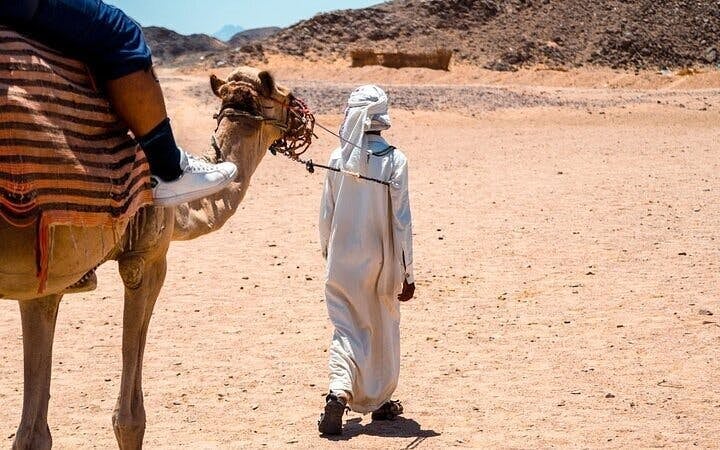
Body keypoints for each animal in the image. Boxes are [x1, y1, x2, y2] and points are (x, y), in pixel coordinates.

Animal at [0, 66, 305, 449]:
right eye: (287, 95)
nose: (302, 119)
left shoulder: (45, 283)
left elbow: (32, 434)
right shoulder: (145, 259)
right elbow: (129, 419)